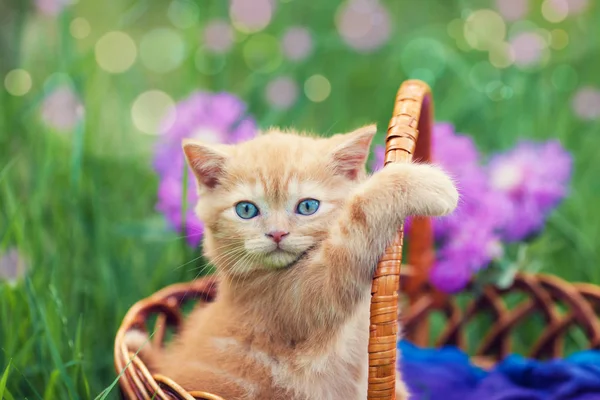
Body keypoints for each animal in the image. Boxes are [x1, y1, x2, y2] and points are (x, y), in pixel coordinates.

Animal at [124, 123, 458, 398]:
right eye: (246, 210)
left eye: (307, 206)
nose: (277, 233)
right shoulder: (306, 298)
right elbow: (355, 224)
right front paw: (420, 182)